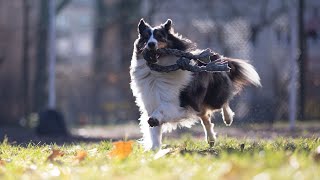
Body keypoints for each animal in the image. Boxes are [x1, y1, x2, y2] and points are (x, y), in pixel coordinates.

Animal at [129, 19, 260, 150]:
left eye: (160, 36)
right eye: (145, 37)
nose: (151, 44)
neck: (158, 72)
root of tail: (216, 56)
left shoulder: (179, 103)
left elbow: (162, 110)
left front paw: (154, 120)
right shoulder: (151, 102)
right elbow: (154, 131)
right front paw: (154, 149)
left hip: (212, 97)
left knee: (223, 102)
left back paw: (228, 118)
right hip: (198, 103)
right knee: (205, 117)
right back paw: (211, 140)